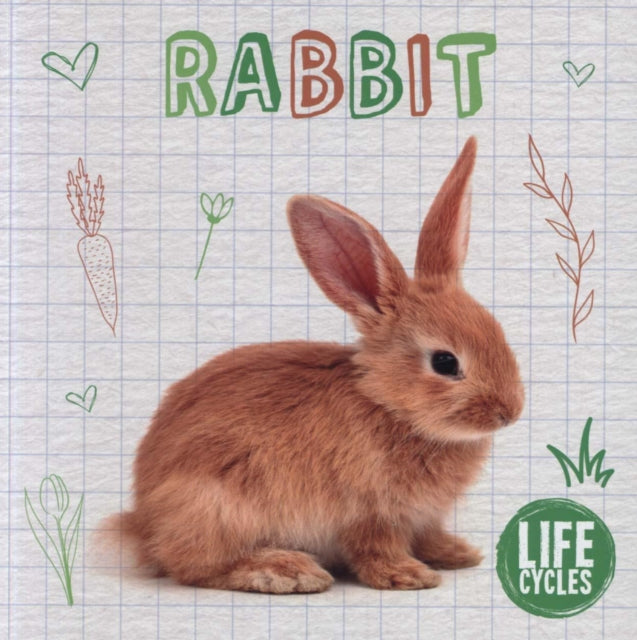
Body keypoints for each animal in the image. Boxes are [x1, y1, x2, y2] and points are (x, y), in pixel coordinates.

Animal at [108, 136, 524, 593]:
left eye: (498, 331)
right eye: (445, 362)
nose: (510, 412)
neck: (388, 404)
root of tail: (143, 525)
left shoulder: (422, 517)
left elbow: (427, 535)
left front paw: (457, 554)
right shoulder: (370, 512)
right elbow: (375, 549)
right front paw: (409, 576)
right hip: (217, 504)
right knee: (195, 565)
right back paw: (286, 570)